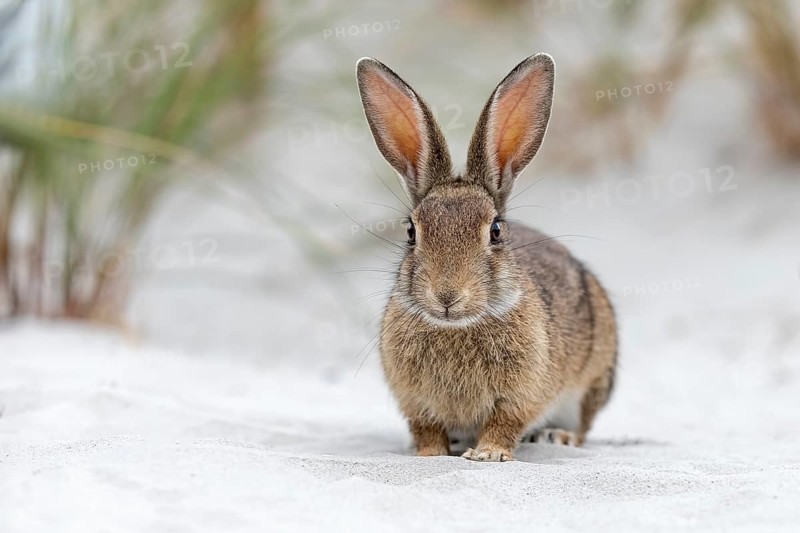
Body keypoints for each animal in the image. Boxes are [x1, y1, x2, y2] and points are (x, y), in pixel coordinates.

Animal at [355, 53, 617, 462]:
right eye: (411, 232)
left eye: (495, 230)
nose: (447, 296)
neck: (456, 326)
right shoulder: (415, 401)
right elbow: (427, 428)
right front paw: (429, 455)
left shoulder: (522, 392)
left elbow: (505, 422)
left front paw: (488, 454)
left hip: (592, 380)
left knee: (583, 427)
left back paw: (554, 437)